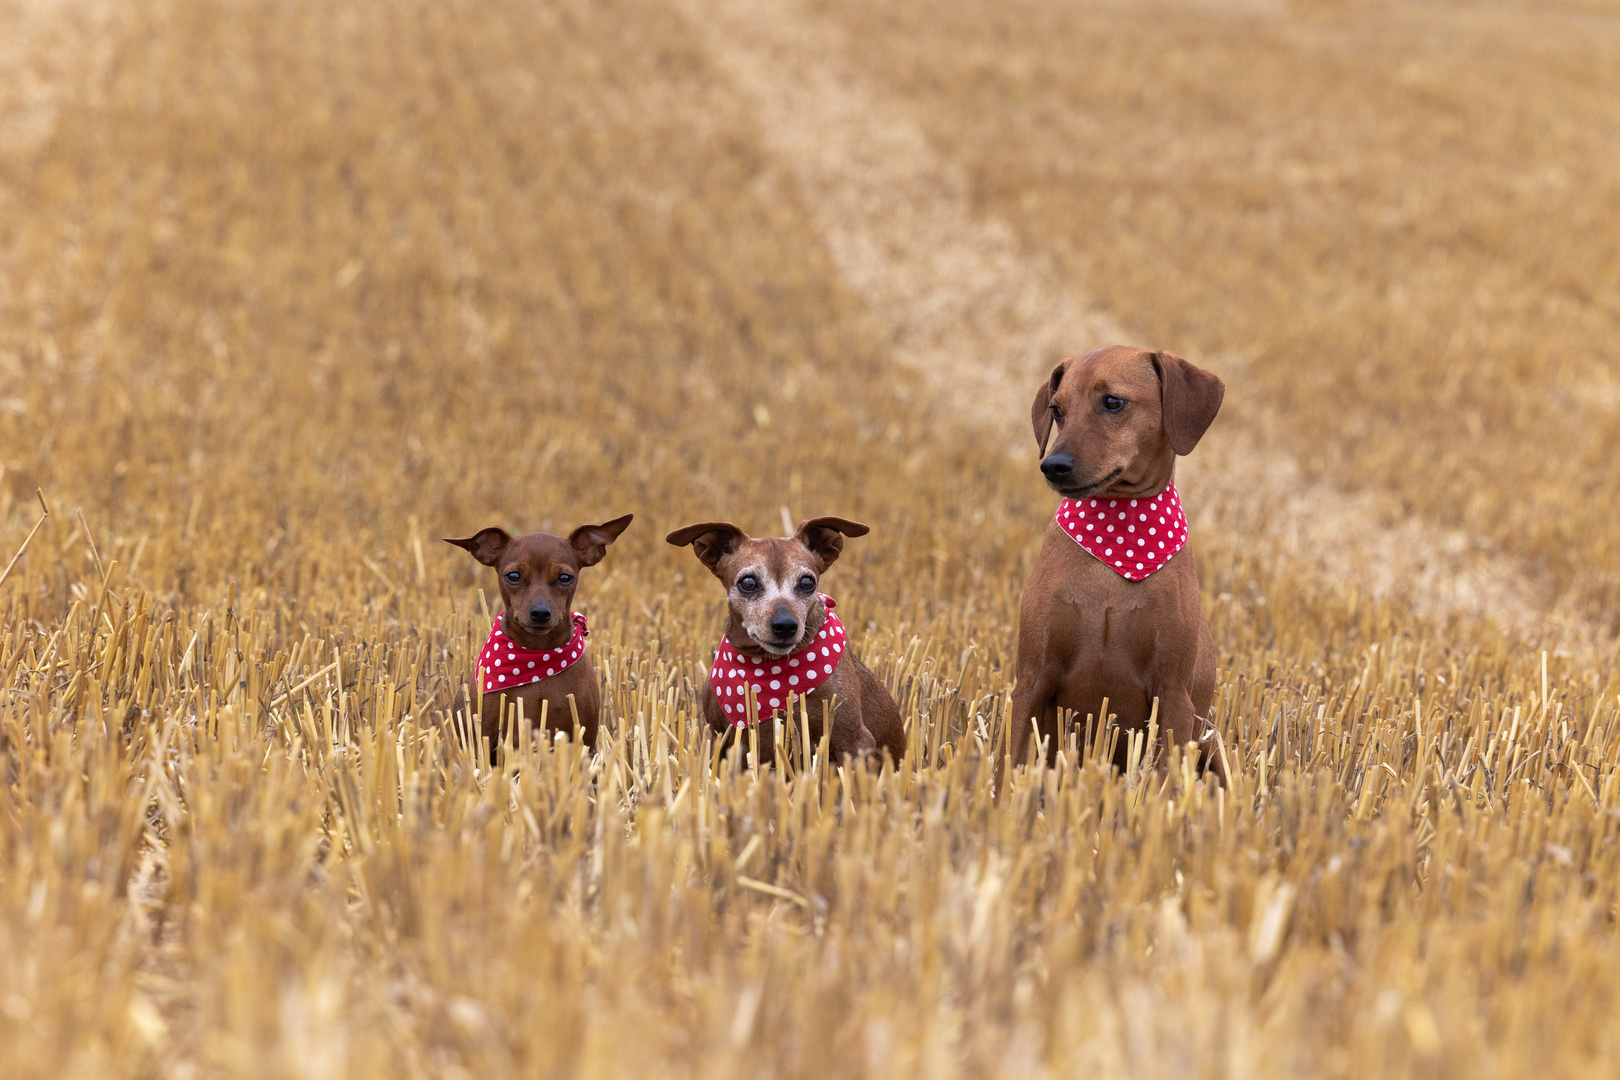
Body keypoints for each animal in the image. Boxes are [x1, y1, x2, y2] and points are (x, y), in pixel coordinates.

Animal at [456, 514, 638, 751]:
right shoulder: (484, 735)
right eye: (513, 575)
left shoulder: (585, 737)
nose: (540, 613)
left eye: (565, 577)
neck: (536, 658)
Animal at [664, 518, 907, 764]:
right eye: (748, 582)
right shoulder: (718, 739)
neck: (766, 667)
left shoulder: (855, 741)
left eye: (807, 582)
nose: (786, 625)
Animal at [997, 351, 1224, 780]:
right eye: (1057, 410)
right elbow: (1009, 765)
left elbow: (1163, 779)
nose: (1053, 465)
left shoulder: (1174, 694)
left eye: (1113, 402)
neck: (1116, 539)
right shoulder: (1031, 680)